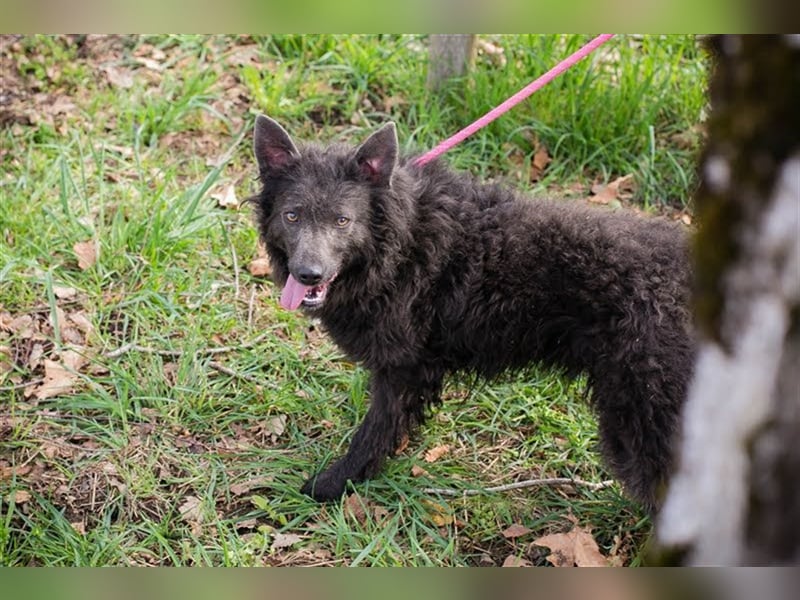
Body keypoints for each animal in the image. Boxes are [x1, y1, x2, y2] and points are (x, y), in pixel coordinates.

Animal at [250, 115, 692, 508]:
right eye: (292, 215)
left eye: (342, 220)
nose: (307, 274)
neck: (399, 242)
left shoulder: (401, 372)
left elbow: (372, 435)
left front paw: (335, 483)